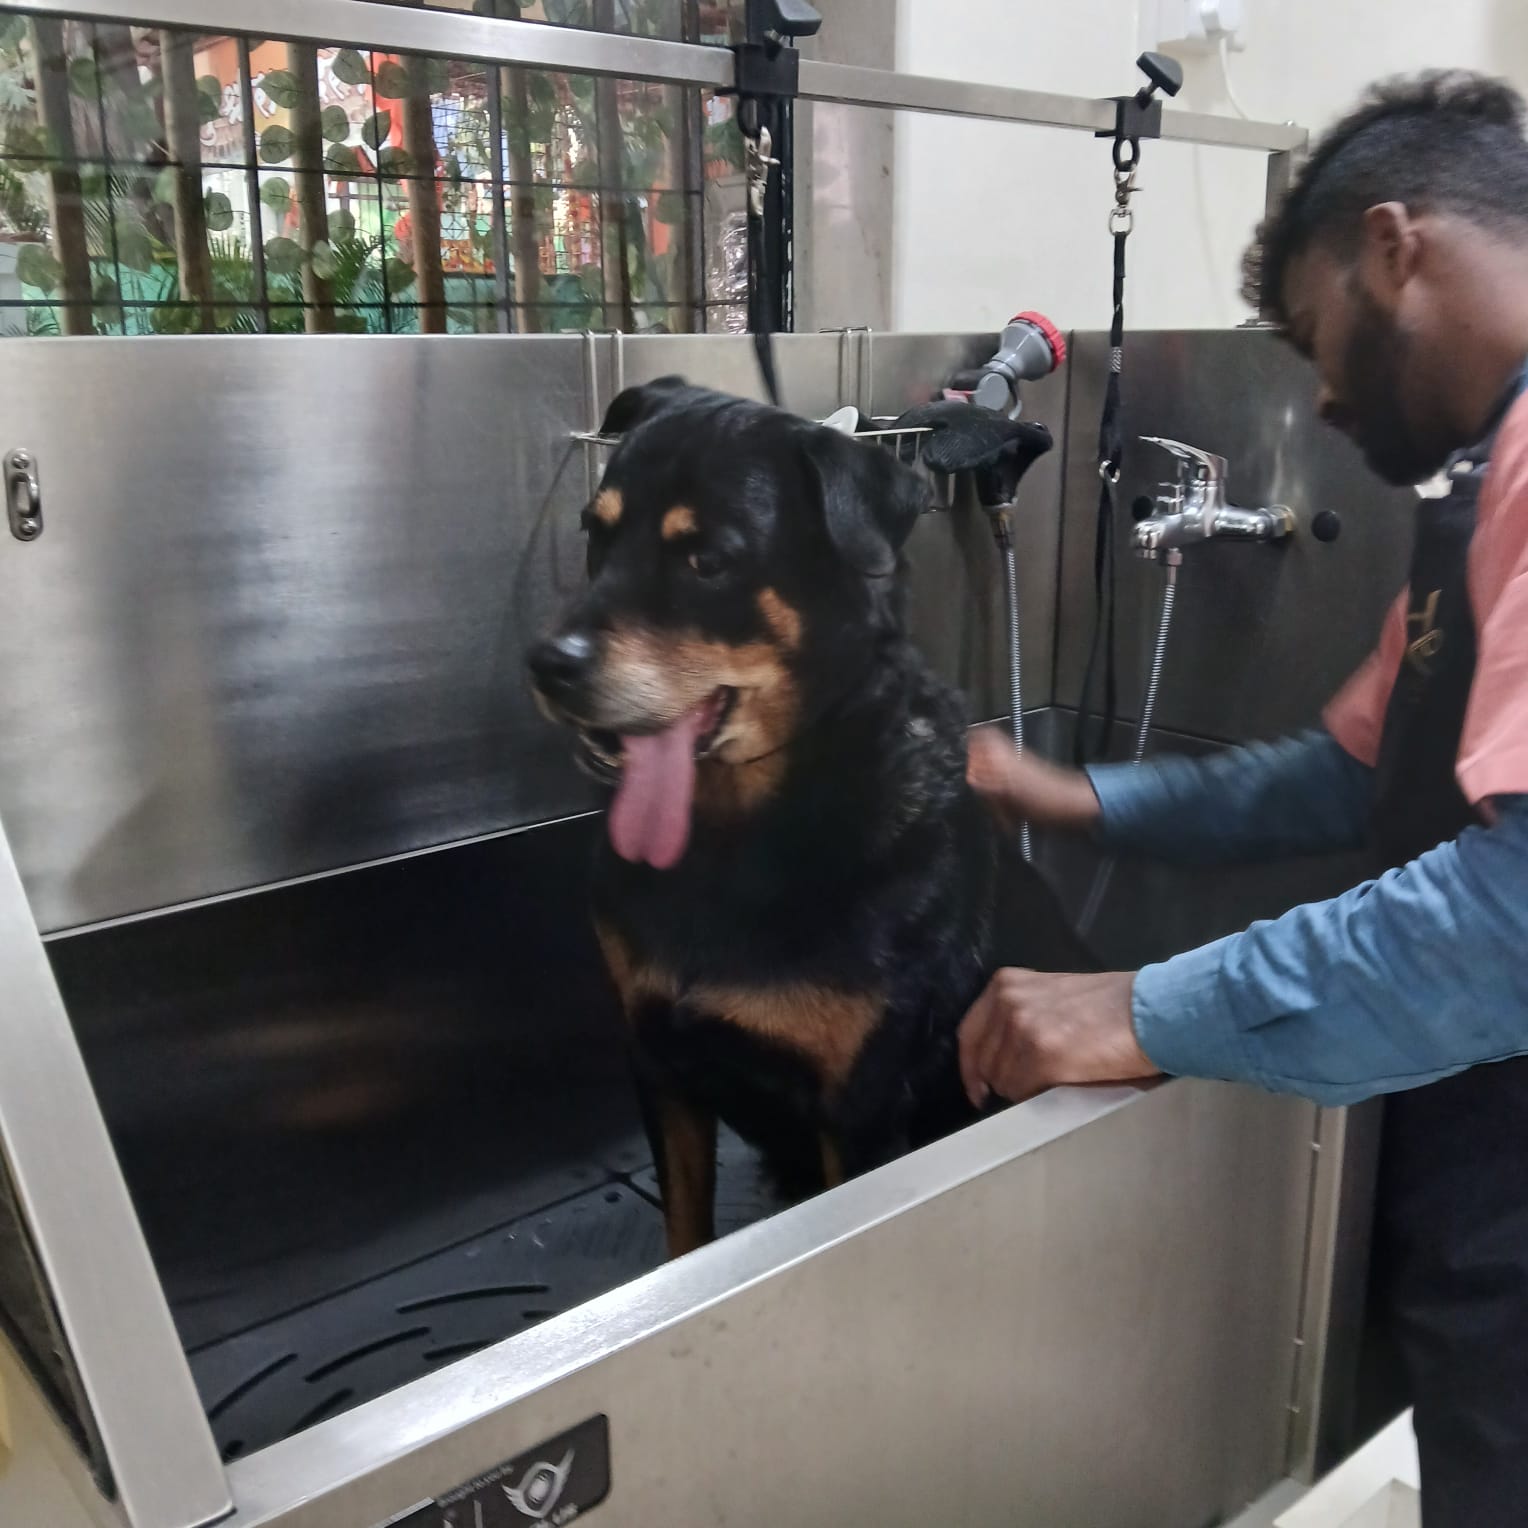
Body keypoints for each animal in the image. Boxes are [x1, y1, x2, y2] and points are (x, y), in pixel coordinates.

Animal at [529, 377, 1092, 1257]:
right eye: (597, 534)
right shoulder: (659, 1066)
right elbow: (685, 1227)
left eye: (708, 560)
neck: (732, 837)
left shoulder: (859, 1109)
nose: (547, 664)